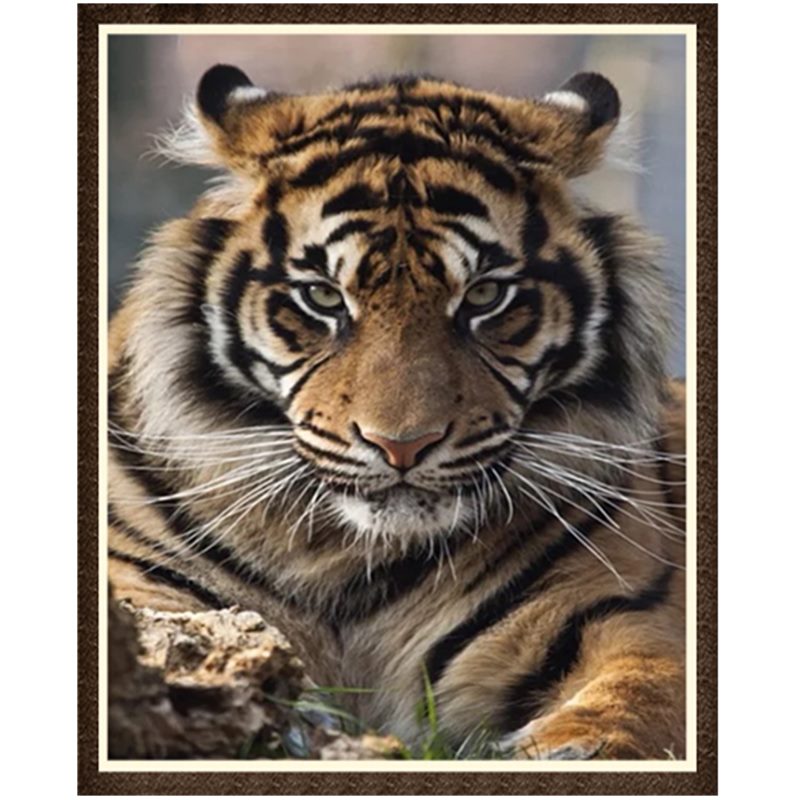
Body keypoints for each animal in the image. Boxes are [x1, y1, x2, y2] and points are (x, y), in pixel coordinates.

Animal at [107, 65, 687, 760]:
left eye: (485, 296)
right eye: (323, 297)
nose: (402, 446)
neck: (344, 558)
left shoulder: (622, 616)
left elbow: (637, 697)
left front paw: (569, 749)